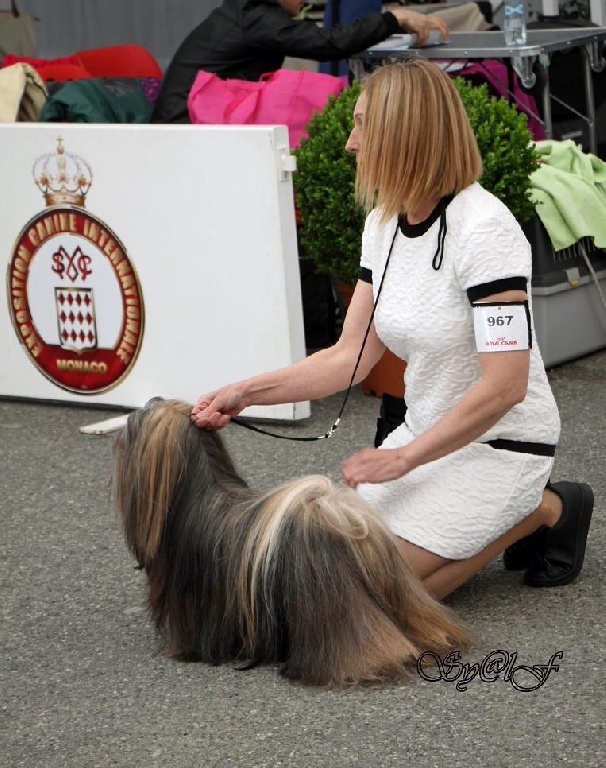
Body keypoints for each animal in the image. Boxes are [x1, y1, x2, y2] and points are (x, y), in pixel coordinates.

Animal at [114, 400, 476, 688]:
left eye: (138, 422)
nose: (122, 431)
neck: (199, 493)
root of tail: (345, 522)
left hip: (332, 611)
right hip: (401, 591)